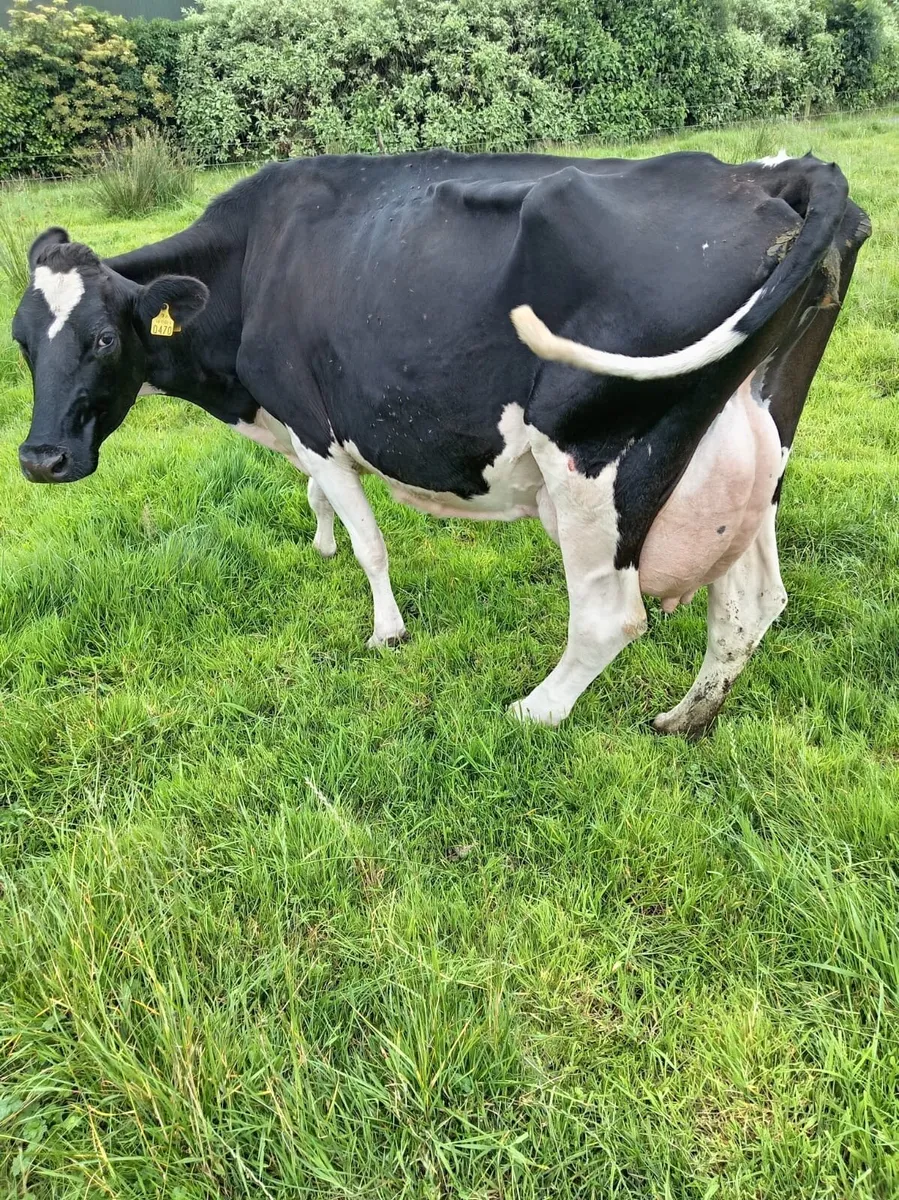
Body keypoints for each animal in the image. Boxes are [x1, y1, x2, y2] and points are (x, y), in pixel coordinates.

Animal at [12, 147, 870, 734]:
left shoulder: (311, 417)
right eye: (20, 341)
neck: (253, 261)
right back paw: (683, 719)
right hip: (746, 449)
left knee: (610, 616)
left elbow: (367, 539)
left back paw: (534, 710)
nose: (40, 458)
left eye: (102, 341)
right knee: (751, 603)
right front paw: (321, 541)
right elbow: (320, 501)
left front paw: (385, 629)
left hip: (596, 459)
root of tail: (767, 175)